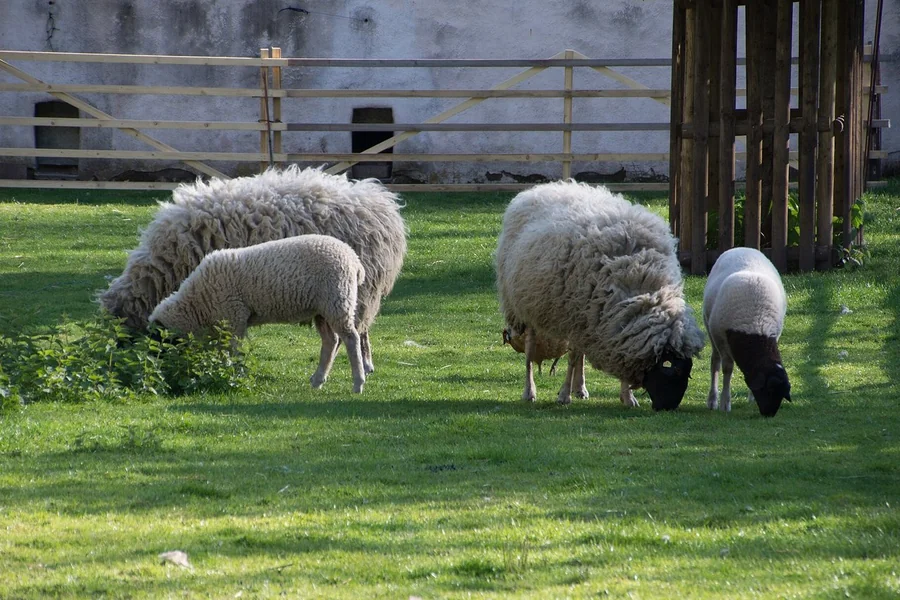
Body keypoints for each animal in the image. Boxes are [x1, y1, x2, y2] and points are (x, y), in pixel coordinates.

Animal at [99, 166, 407, 375]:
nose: (116, 361)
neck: (164, 269)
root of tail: (380, 203)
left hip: (357, 289)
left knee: (357, 330)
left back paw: (364, 365)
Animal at [149, 234, 367, 393]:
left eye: (159, 340)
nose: (157, 369)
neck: (197, 304)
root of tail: (354, 260)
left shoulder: (234, 317)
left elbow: (233, 351)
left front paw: (233, 374)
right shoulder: (225, 322)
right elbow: (222, 351)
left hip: (338, 300)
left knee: (351, 338)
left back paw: (358, 383)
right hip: (322, 309)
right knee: (331, 341)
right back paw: (318, 380)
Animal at [495, 180, 705, 410]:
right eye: (675, 370)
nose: (668, 408)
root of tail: (542, 188)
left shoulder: (605, 321)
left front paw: (627, 397)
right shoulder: (577, 317)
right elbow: (571, 358)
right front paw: (564, 395)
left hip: (586, 319)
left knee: (579, 353)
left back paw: (580, 388)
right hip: (526, 304)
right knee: (531, 351)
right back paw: (530, 391)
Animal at [702, 247, 791, 416]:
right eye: (769, 390)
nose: (769, 414)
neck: (754, 327)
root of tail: (742, 247)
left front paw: (750, 397)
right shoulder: (721, 338)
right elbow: (727, 368)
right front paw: (725, 403)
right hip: (709, 327)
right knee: (715, 362)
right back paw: (712, 399)